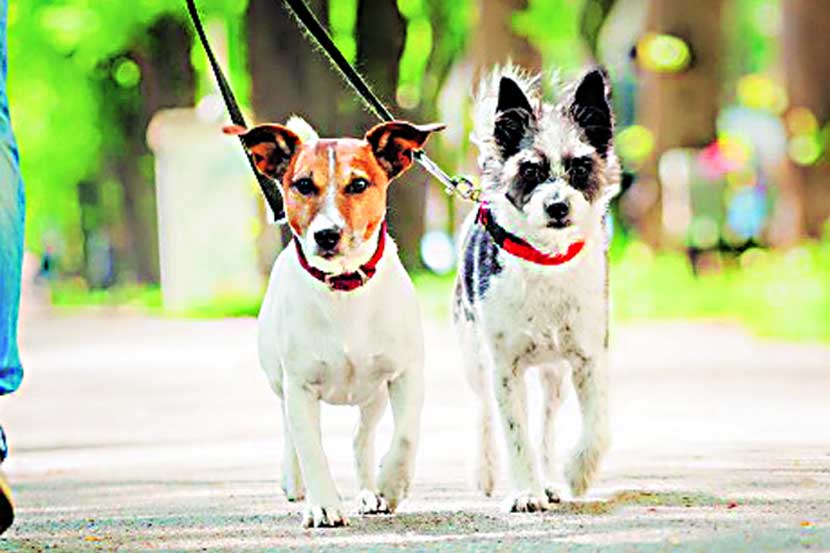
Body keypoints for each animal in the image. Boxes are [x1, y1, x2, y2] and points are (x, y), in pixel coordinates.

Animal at [227, 117, 442, 527]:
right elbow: (311, 448)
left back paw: (370, 492)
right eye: (303, 185)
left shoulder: (407, 373)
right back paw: (294, 481)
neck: (343, 289)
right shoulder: (299, 385)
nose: (326, 235)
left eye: (358, 184)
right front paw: (323, 504)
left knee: (362, 438)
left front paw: (391, 484)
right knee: (290, 432)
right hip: (279, 381)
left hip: (373, 395)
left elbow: (406, 434)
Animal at [452, 67, 621, 512]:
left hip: (553, 375)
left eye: (580, 167)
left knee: (546, 426)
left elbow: (599, 425)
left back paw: (551, 480)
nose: (557, 206)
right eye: (530, 170)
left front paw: (577, 473)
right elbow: (515, 434)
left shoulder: (590, 358)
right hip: (474, 357)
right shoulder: (504, 367)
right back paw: (488, 471)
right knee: (484, 413)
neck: (546, 260)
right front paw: (525, 492)